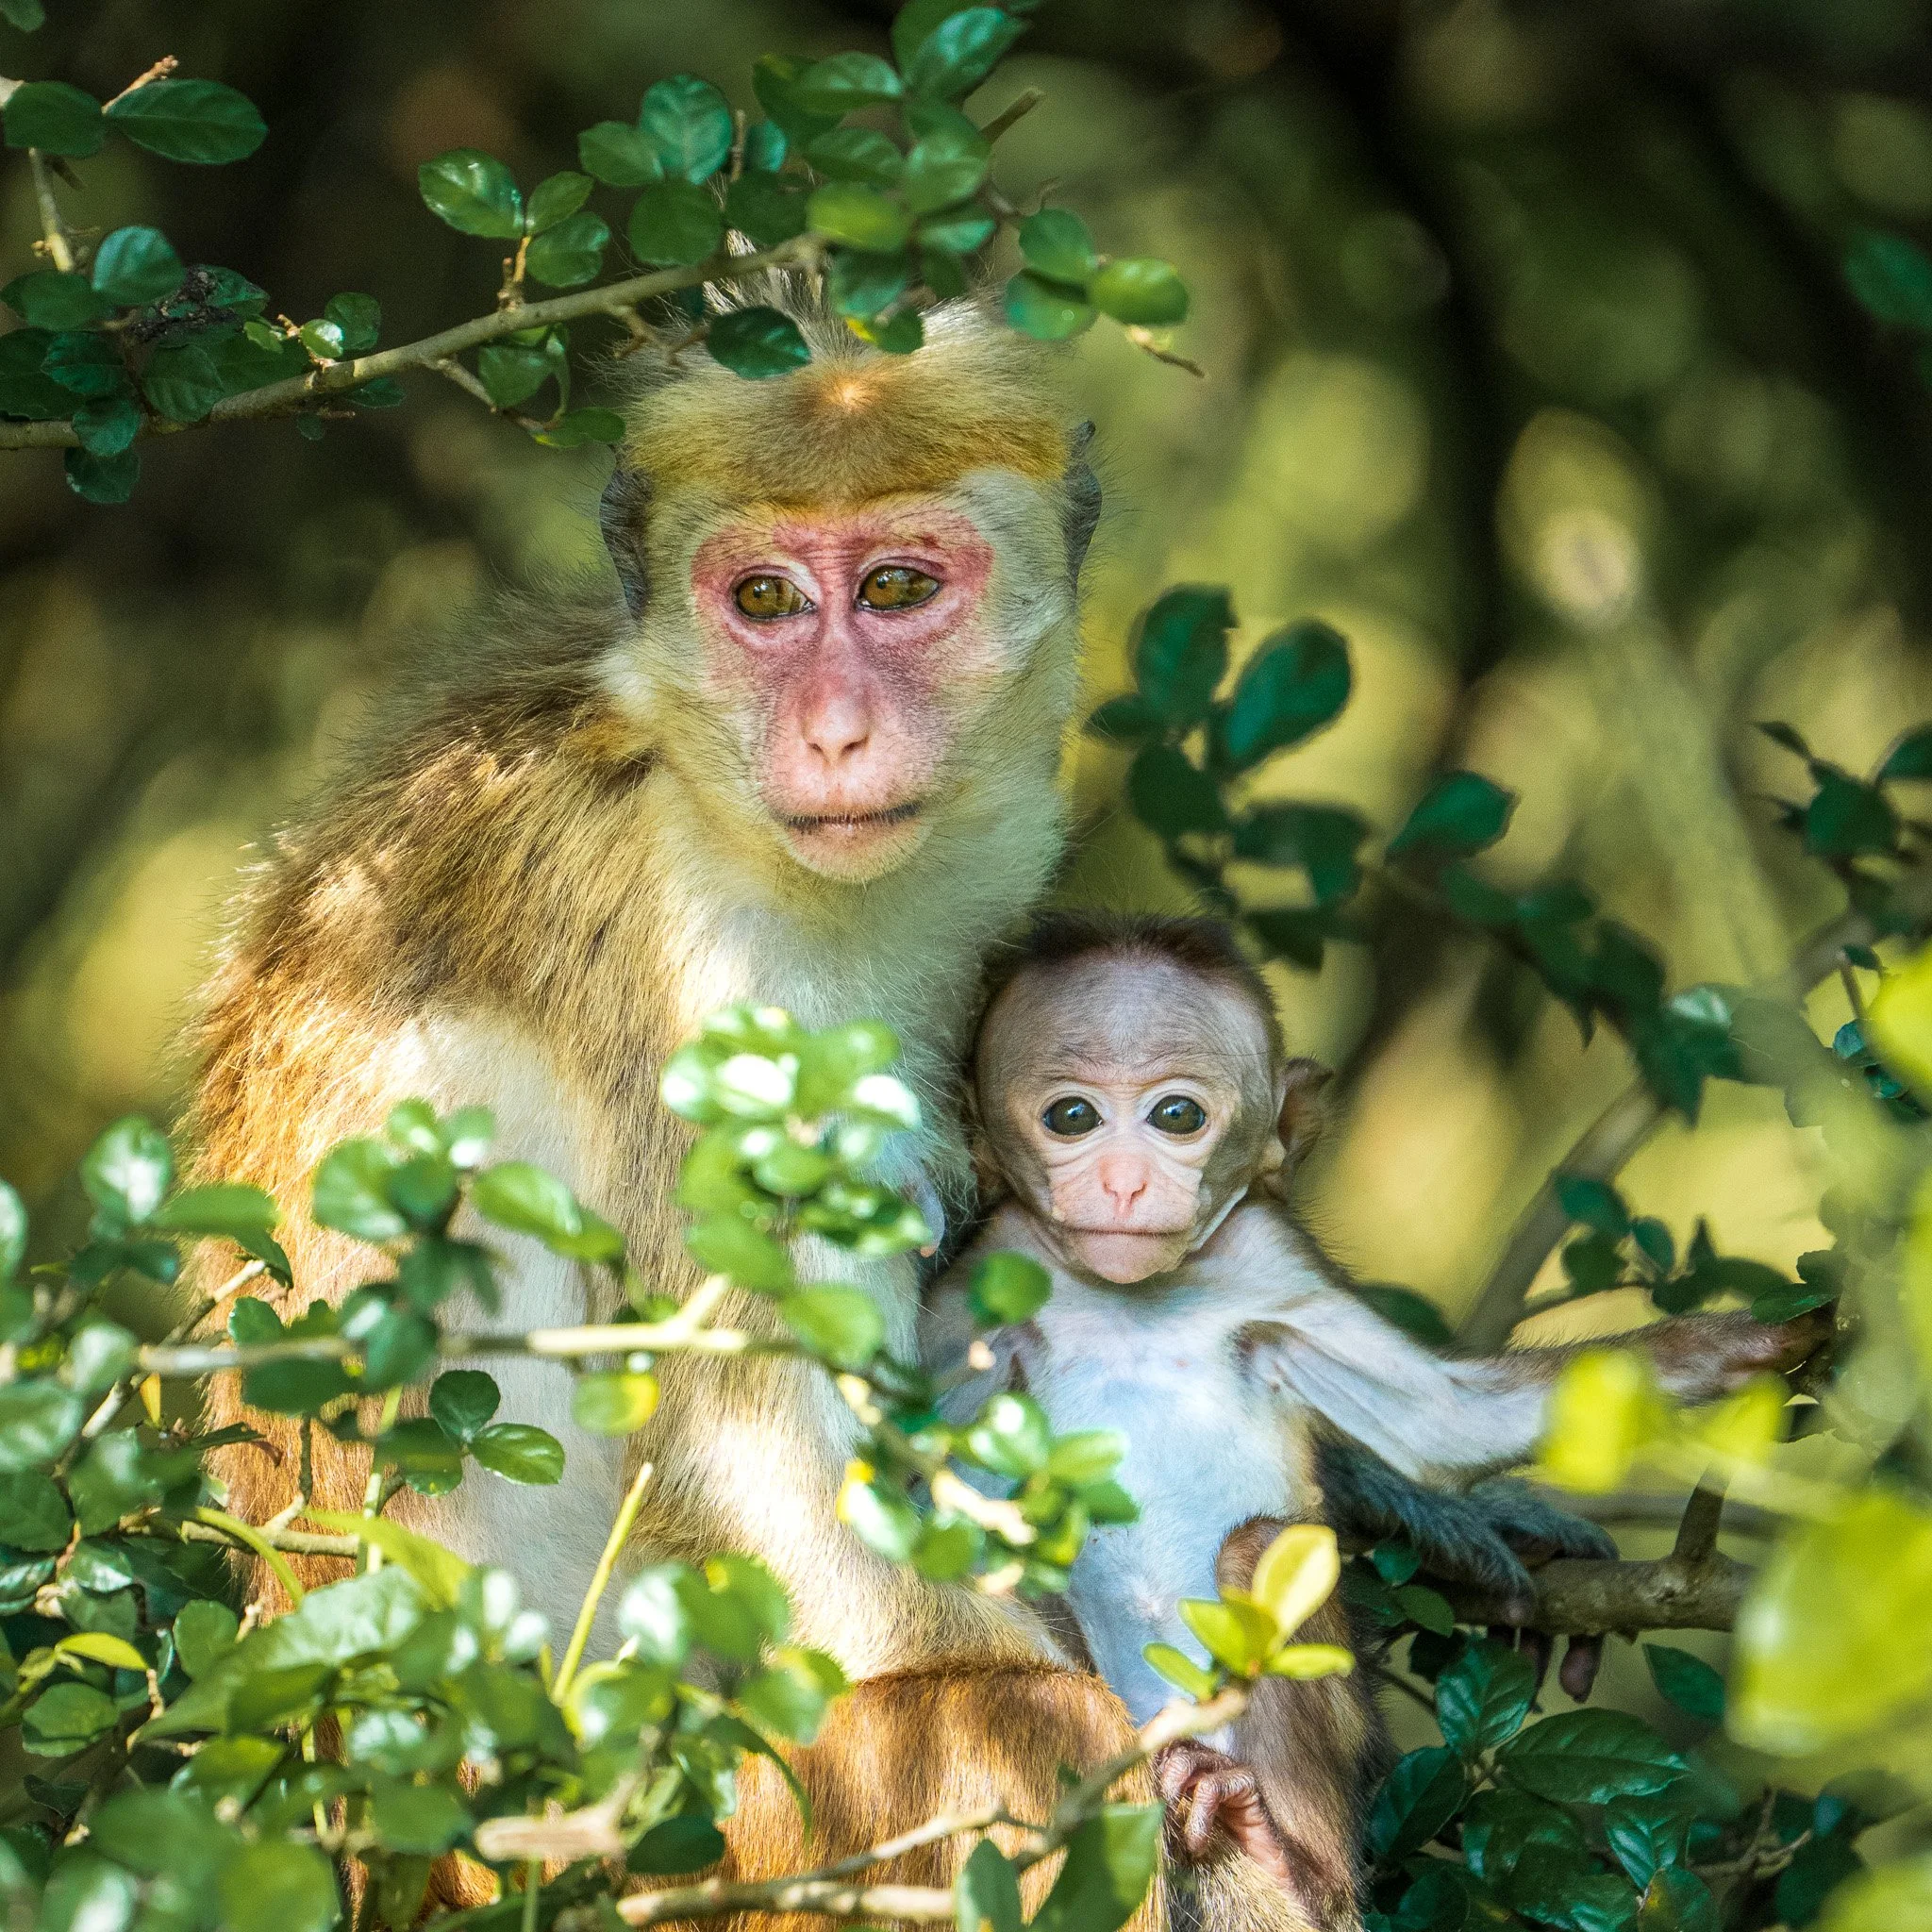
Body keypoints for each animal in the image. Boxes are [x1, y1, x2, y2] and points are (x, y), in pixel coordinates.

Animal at [187, 291, 1321, 1931]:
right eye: (768, 601)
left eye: (898, 588)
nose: (835, 729)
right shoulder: (704, 967)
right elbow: (769, 1464)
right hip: (691, 1853)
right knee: (1015, 1731)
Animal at [924, 911, 1826, 1929]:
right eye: (1070, 1117)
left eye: (1176, 1116)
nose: (1121, 1182)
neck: (1126, 1298)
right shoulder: (974, 1287)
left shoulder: (1269, 1258)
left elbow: (1443, 1424)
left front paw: (1751, 1346)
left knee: (1261, 1552)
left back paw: (1286, 1861)